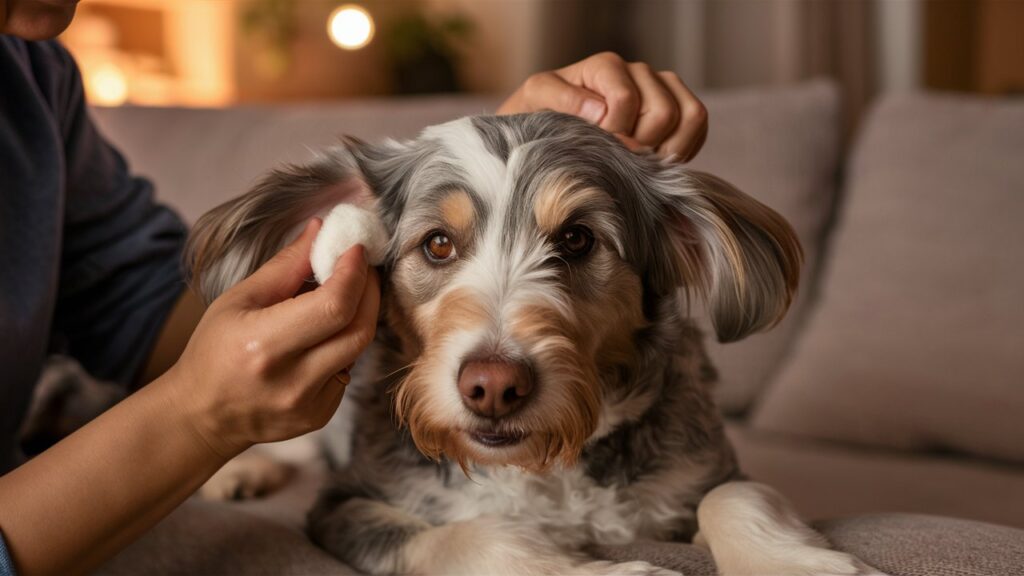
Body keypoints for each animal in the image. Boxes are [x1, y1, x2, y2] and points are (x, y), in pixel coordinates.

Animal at [184, 109, 872, 569]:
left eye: (577, 238)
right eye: (438, 244)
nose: (492, 387)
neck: (545, 464)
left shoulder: (700, 470)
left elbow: (735, 498)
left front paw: (792, 565)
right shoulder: (349, 503)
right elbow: (466, 538)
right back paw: (239, 473)